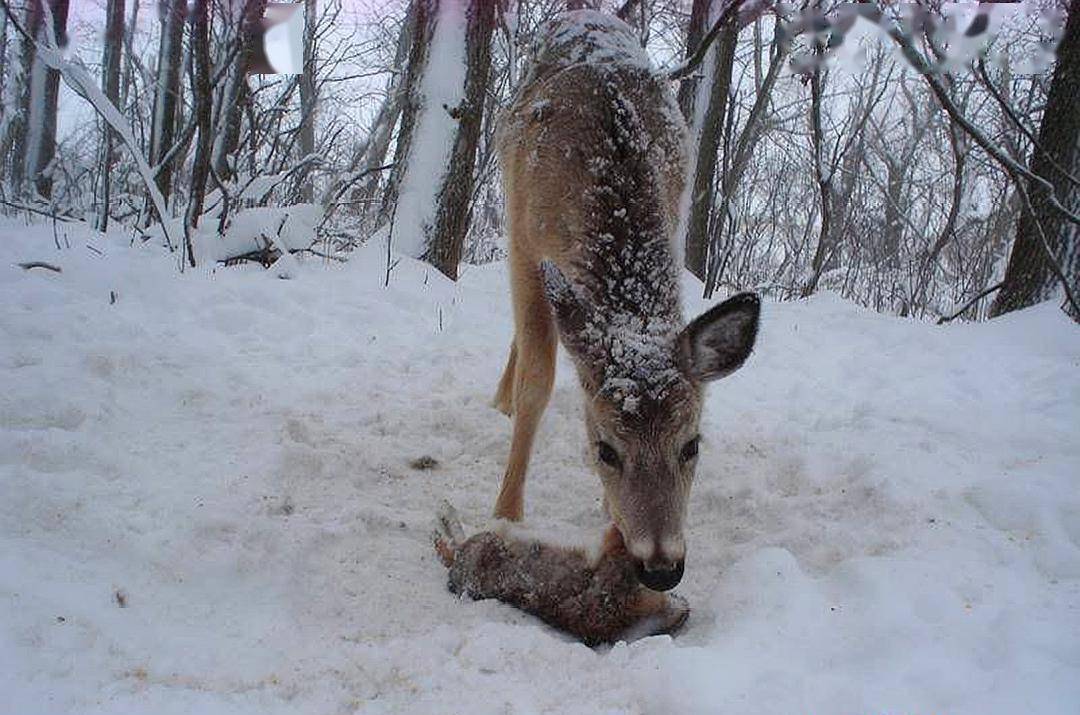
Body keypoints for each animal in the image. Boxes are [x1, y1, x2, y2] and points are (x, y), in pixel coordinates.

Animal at [492, 11, 760, 591]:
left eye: (692, 445)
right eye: (606, 450)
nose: (661, 569)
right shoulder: (525, 240)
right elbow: (538, 382)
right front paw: (505, 514)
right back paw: (501, 400)